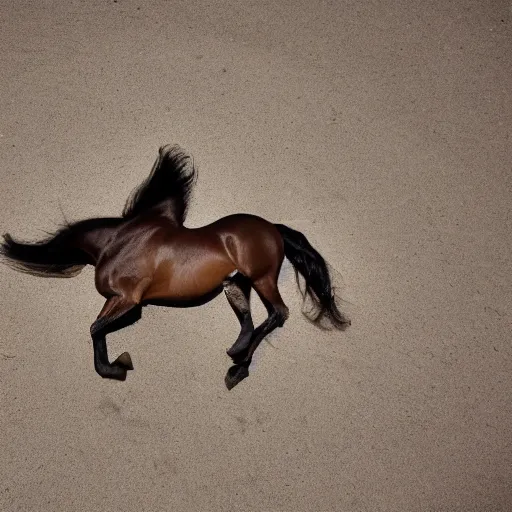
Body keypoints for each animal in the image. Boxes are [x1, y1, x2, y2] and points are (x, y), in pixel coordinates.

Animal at [0, 144, 350, 388]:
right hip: (235, 284)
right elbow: (96, 329)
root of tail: (273, 228)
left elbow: (95, 328)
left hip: (262, 277)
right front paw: (116, 365)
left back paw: (237, 367)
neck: (117, 240)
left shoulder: (128, 300)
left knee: (278, 313)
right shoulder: (116, 300)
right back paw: (237, 355)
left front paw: (121, 365)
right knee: (250, 319)